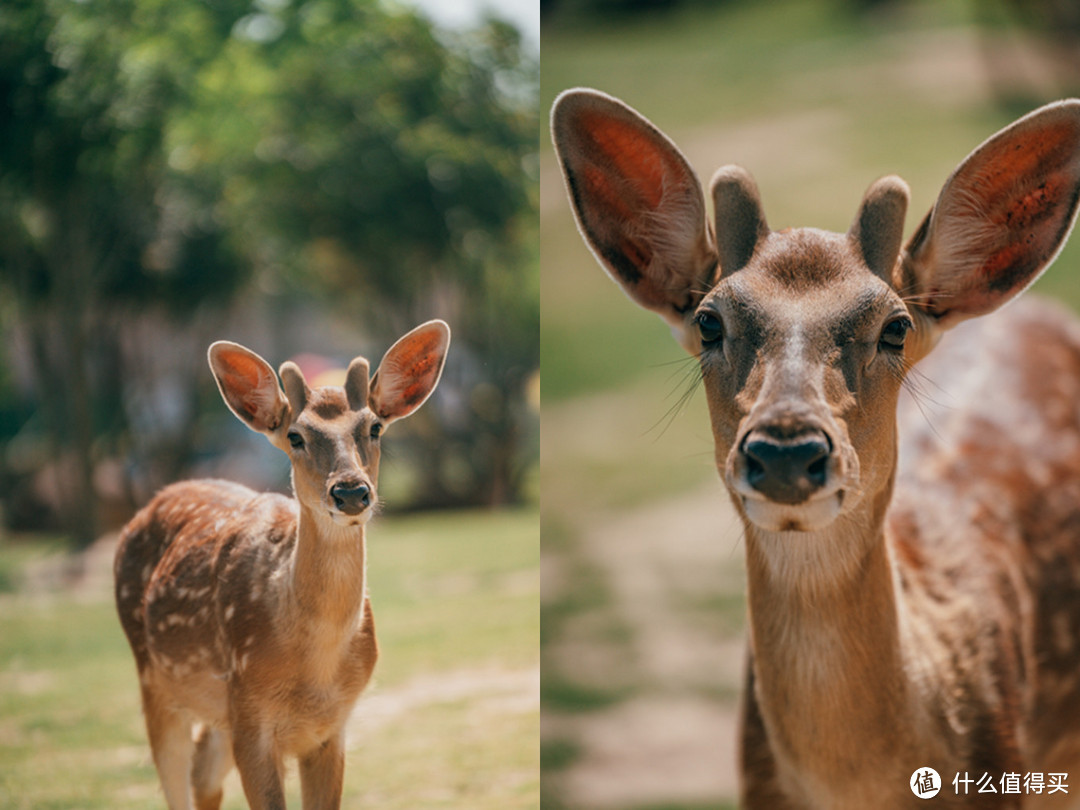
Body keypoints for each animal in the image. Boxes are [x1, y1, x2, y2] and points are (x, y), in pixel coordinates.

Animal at [117, 319, 451, 807]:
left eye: (374, 427)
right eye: (296, 436)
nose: (351, 491)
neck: (315, 672)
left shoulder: (332, 727)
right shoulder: (250, 714)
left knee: (203, 770)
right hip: (154, 678)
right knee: (176, 775)